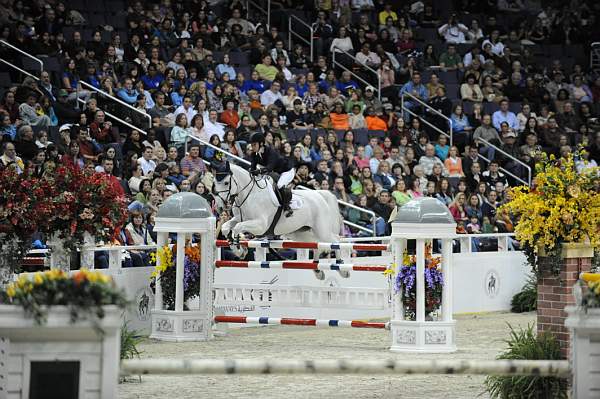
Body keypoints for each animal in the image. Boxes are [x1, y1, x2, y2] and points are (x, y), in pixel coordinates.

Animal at [211, 162, 342, 247]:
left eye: (226, 182)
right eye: (214, 183)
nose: (220, 207)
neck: (249, 195)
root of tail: (320, 196)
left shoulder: (260, 225)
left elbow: (237, 227)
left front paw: (235, 240)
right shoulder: (239, 218)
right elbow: (226, 226)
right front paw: (230, 240)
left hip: (322, 231)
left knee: (336, 242)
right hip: (303, 234)